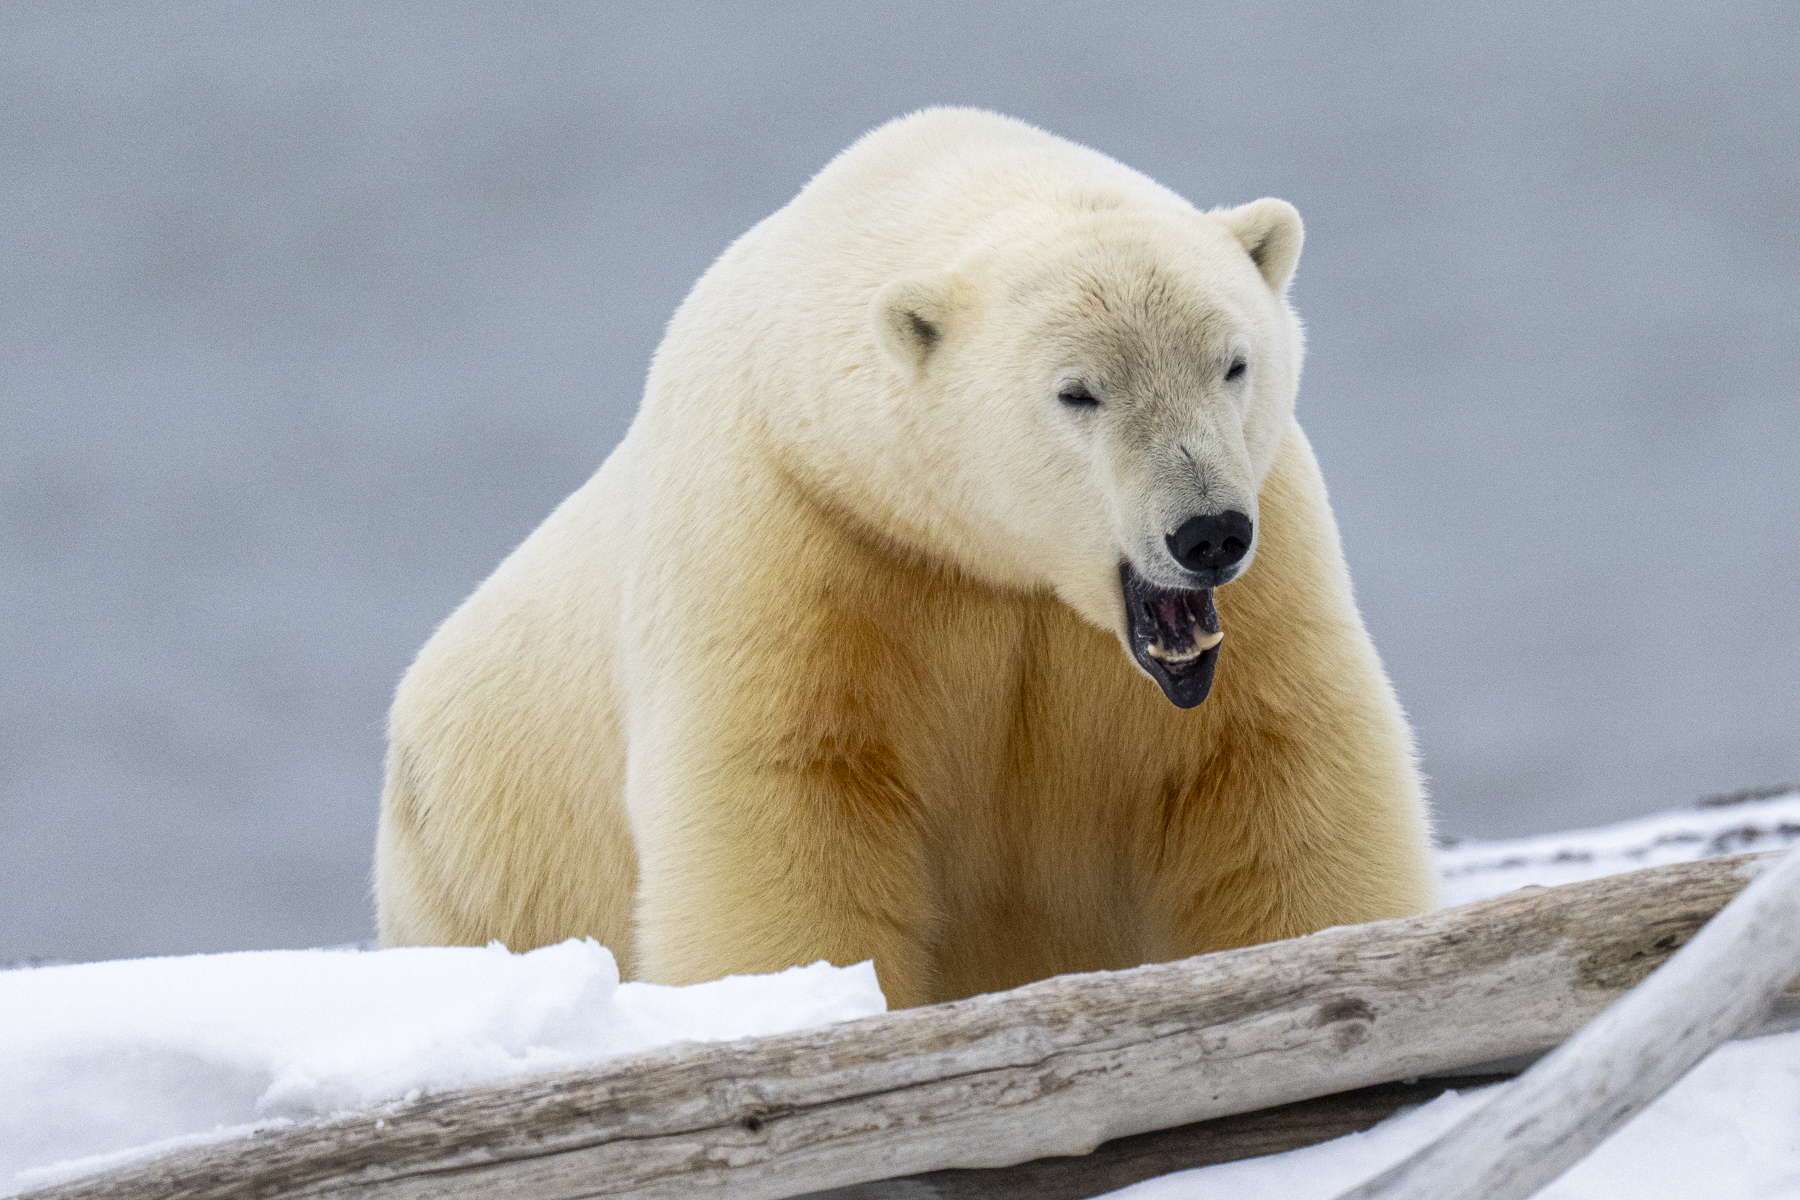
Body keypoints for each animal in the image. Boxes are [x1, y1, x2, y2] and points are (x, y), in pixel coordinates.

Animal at [375, 108, 1437, 1008]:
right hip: (471, 866)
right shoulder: (799, 532)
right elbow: (788, 790)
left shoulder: (1273, 538)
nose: (1206, 531)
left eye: (1233, 363)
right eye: (1078, 392)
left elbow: (1275, 764)